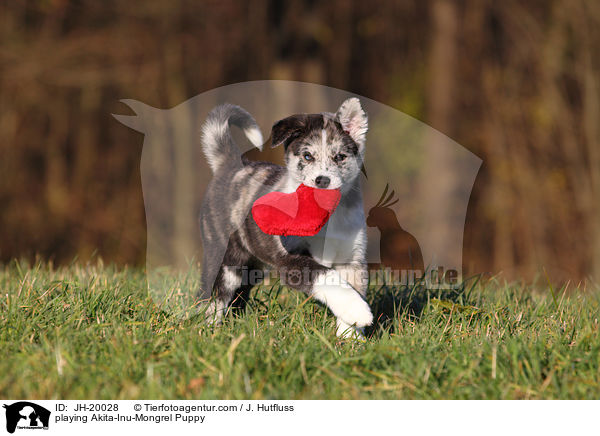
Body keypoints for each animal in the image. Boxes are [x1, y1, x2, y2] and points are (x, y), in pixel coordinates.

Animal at [199, 98, 372, 338]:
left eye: (339, 157)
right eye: (307, 156)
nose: (322, 180)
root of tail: (230, 164)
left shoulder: (351, 259)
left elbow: (351, 287)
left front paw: (349, 337)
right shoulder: (290, 260)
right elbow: (327, 277)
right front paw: (359, 311)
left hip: (253, 265)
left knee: (238, 295)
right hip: (224, 257)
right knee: (214, 295)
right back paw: (209, 330)